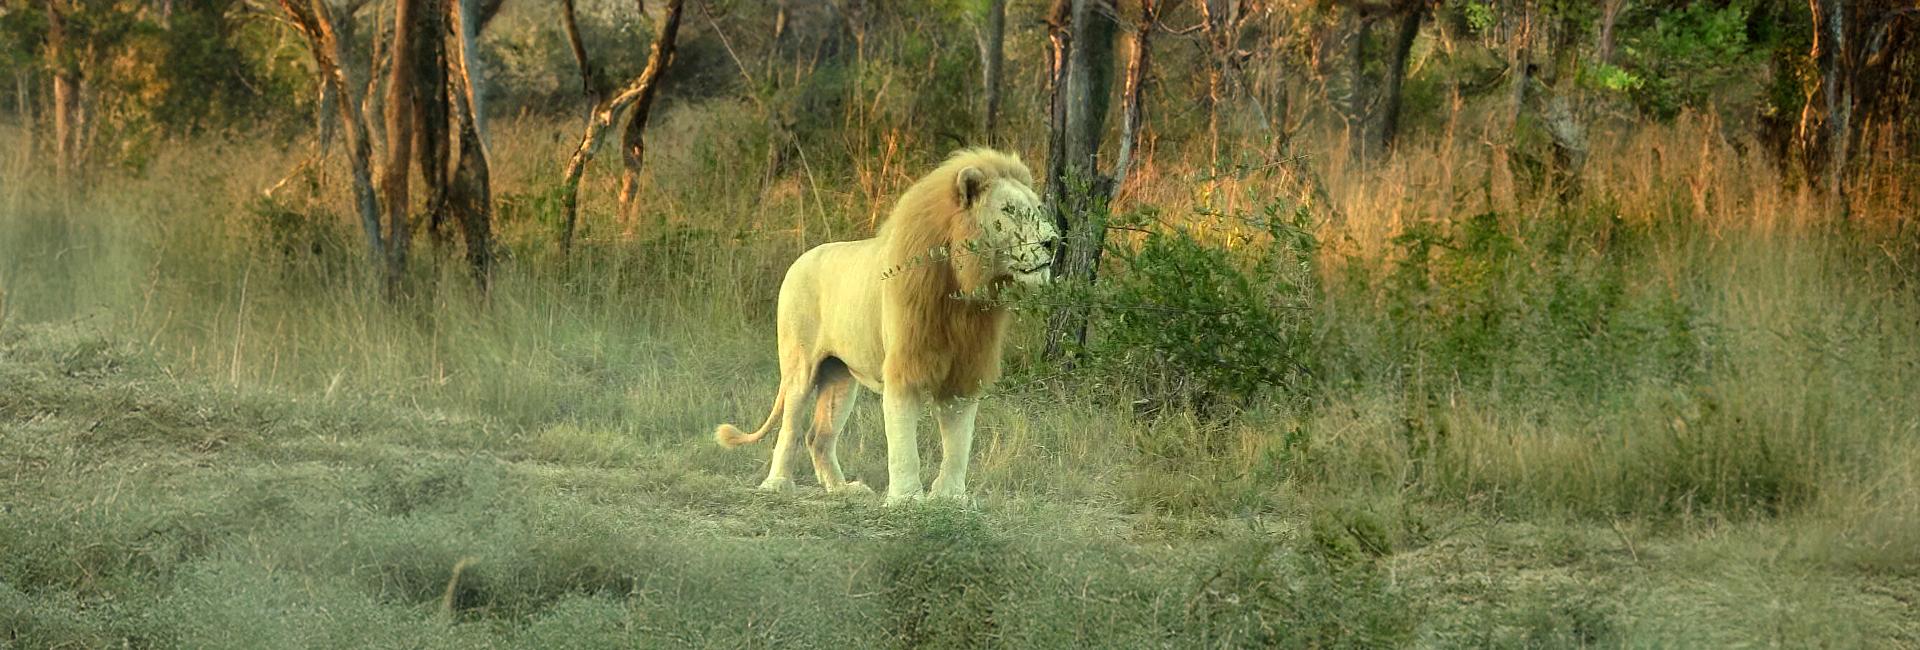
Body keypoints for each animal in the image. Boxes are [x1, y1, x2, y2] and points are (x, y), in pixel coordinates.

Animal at [714, 148, 1061, 504]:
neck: (960, 293)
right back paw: (777, 484)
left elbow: (958, 442)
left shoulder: (964, 371)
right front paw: (906, 499)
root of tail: (799, 260)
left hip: (839, 376)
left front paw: (950, 497)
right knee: (791, 428)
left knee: (818, 435)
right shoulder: (904, 368)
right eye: (1008, 210)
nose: (1053, 241)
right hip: (800, 366)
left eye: (1036, 210)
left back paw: (843, 489)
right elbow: (904, 444)